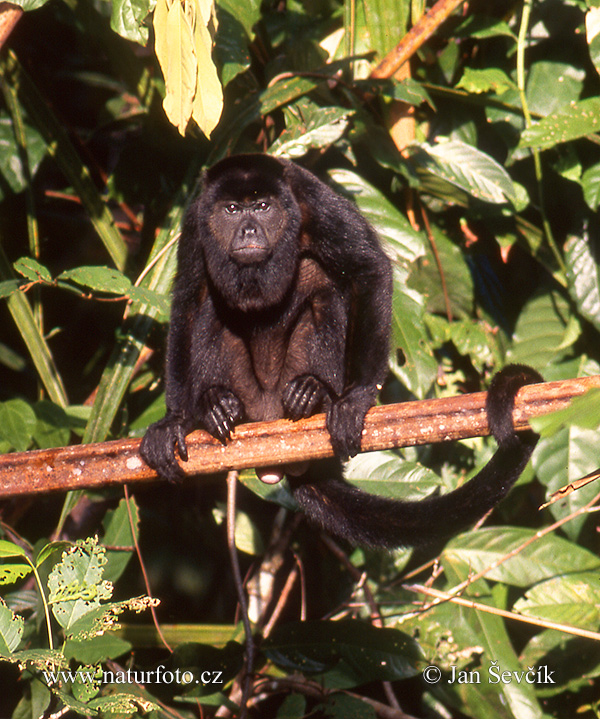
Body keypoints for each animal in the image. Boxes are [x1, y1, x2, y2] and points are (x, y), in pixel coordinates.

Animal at [142, 155, 544, 548]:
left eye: (262, 206)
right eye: (231, 209)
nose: (249, 230)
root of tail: (268, 414)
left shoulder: (313, 203)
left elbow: (369, 269)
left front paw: (357, 397)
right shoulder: (195, 221)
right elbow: (188, 299)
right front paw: (177, 419)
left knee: (321, 284)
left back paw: (314, 393)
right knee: (213, 305)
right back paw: (217, 404)